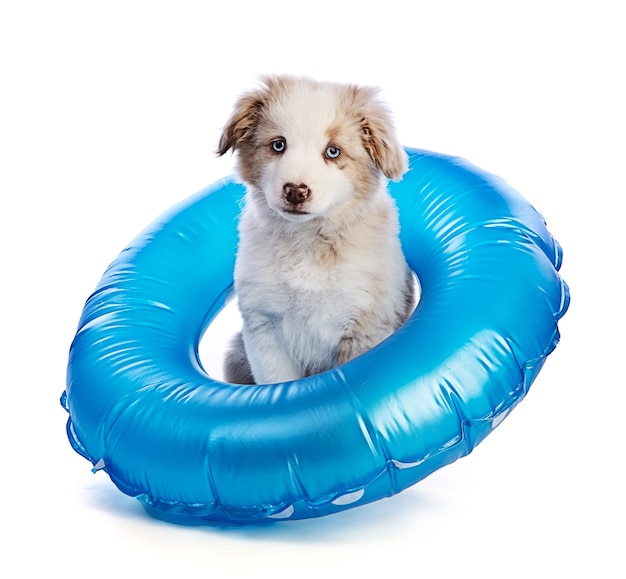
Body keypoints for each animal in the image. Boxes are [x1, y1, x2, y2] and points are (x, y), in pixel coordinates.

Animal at [216, 76, 414, 386]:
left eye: (333, 151)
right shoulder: (264, 328)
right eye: (278, 145)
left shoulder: (363, 328)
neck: (306, 242)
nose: (295, 191)